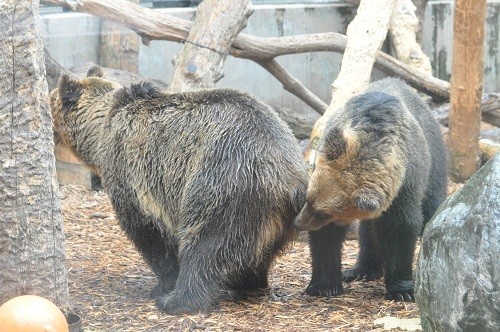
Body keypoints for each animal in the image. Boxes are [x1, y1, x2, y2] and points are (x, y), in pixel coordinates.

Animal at [51, 67, 308, 314]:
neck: (100, 130)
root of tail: (291, 177)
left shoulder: (133, 178)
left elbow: (150, 236)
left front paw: (162, 285)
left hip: (225, 183)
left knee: (205, 245)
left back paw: (177, 301)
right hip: (275, 217)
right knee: (258, 253)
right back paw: (247, 283)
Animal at [292, 79, 446, 302]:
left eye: (323, 212)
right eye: (308, 198)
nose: (297, 223)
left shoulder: (406, 185)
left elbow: (400, 227)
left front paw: (402, 290)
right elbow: (327, 239)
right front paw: (324, 285)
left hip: (434, 165)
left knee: (432, 206)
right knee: (368, 232)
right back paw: (360, 270)